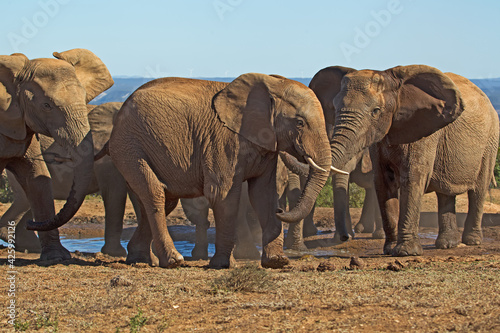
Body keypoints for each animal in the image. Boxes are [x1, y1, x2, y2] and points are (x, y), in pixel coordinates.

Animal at [29, 74, 340, 268]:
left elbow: (263, 196)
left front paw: (277, 262)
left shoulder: (264, 144)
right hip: (130, 146)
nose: (283, 210)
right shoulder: (223, 142)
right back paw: (173, 261)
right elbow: (223, 195)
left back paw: (140, 260)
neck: (269, 82)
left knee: (164, 200)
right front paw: (223, 265)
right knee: (155, 194)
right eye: (299, 123)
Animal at [324, 65, 500, 256]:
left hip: (490, 141)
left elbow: (412, 178)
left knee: (478, 189)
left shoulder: (423, 133)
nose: (345, 238)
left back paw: (472, 241)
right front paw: (389, 249)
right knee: (445, 192)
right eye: (335, 107)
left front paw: (405, 252)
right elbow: (383, 182)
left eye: (376, 111)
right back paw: (447, 244)